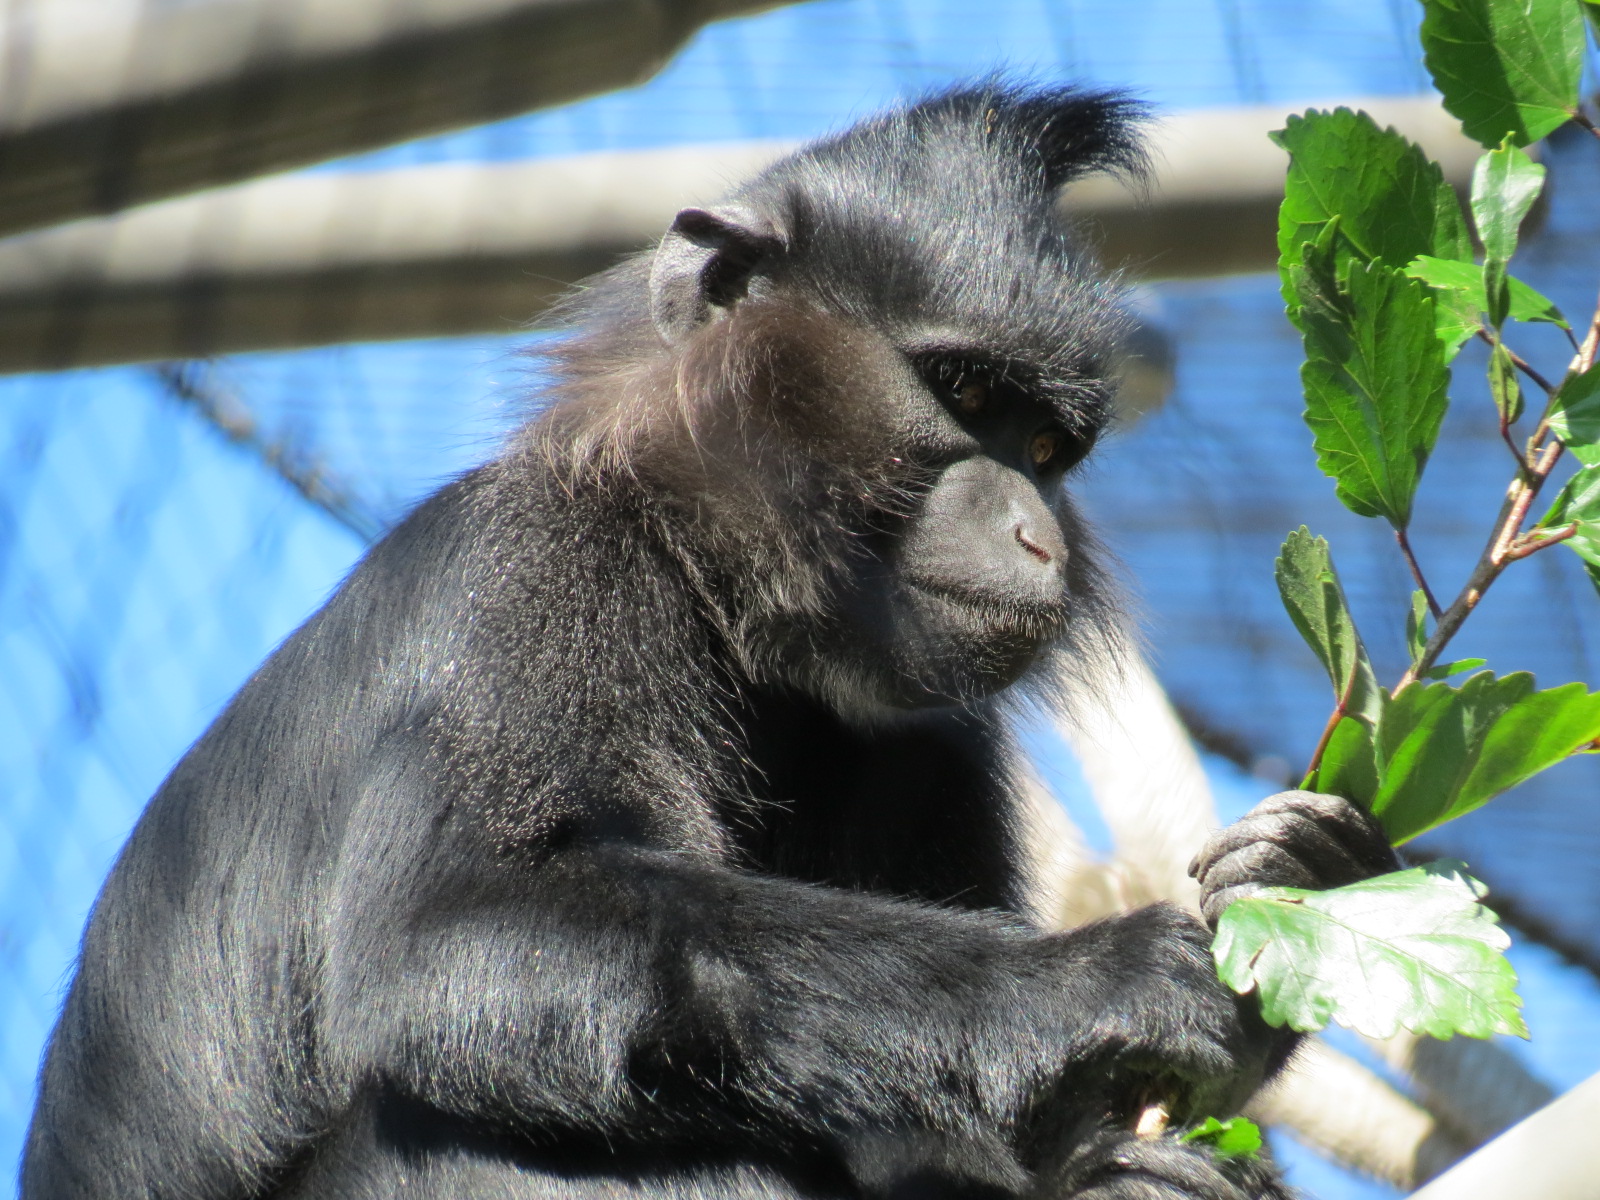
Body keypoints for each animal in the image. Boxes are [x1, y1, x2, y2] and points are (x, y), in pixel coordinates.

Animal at [23, 82, 1398, 1200]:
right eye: (962, 394)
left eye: (1051, 448)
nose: (1035, 535)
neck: (714, 590)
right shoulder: (541, 565)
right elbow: (449, 930)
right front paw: (1097, 983)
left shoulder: (927, 742)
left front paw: (1297, 886)